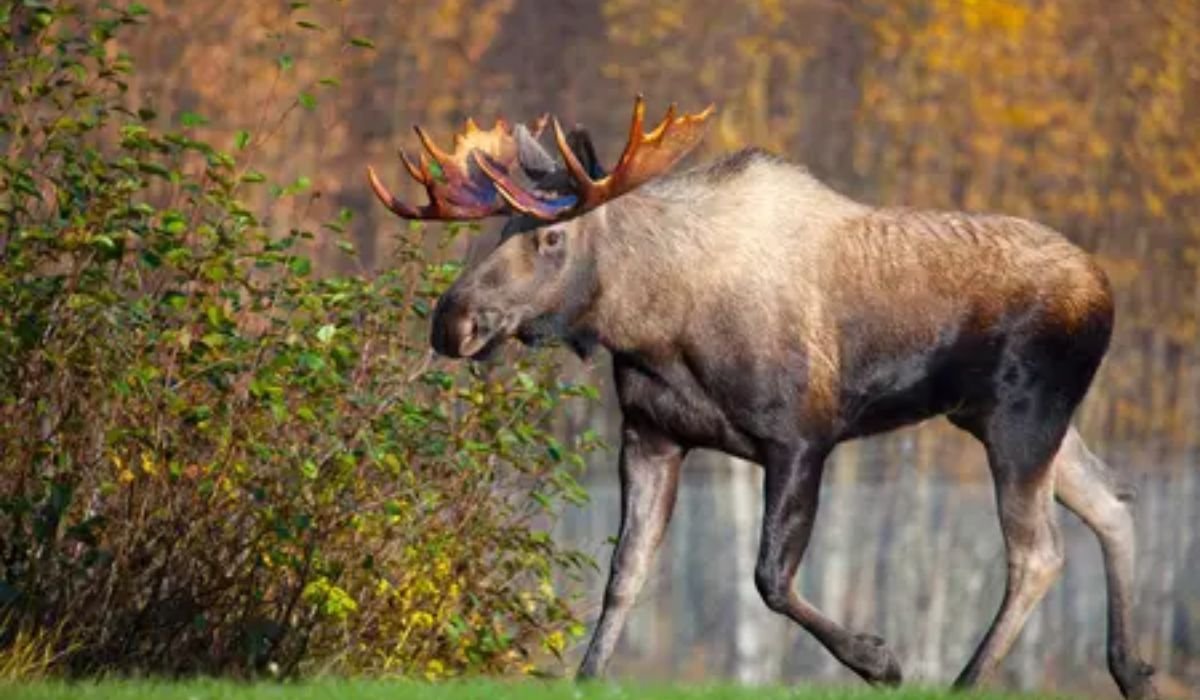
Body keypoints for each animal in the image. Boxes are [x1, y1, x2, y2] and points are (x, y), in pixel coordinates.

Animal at [366, 97, 1159, 699]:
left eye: (552, 237)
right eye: (501, 225)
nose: (451, 322)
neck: (655, 326)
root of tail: (1105, 288)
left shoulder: (803, 437)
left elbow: (770, 576)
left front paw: (879, 659)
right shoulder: (651, 434)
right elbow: (626, 574)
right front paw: (588, 677)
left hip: (1022, 414)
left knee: (1040, 551)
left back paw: (970, 680)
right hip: (1008, 419)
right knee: (1113, 503)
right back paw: (1133, 670)